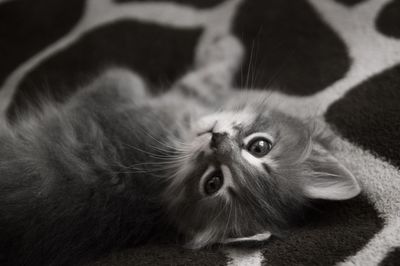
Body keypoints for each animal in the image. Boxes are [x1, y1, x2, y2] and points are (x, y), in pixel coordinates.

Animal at [0, 36, 360, 264]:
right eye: (260, 146)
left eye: (212, 183)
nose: (217, 140)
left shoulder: (118, 100)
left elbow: (132, 76)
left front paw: (222, 48)